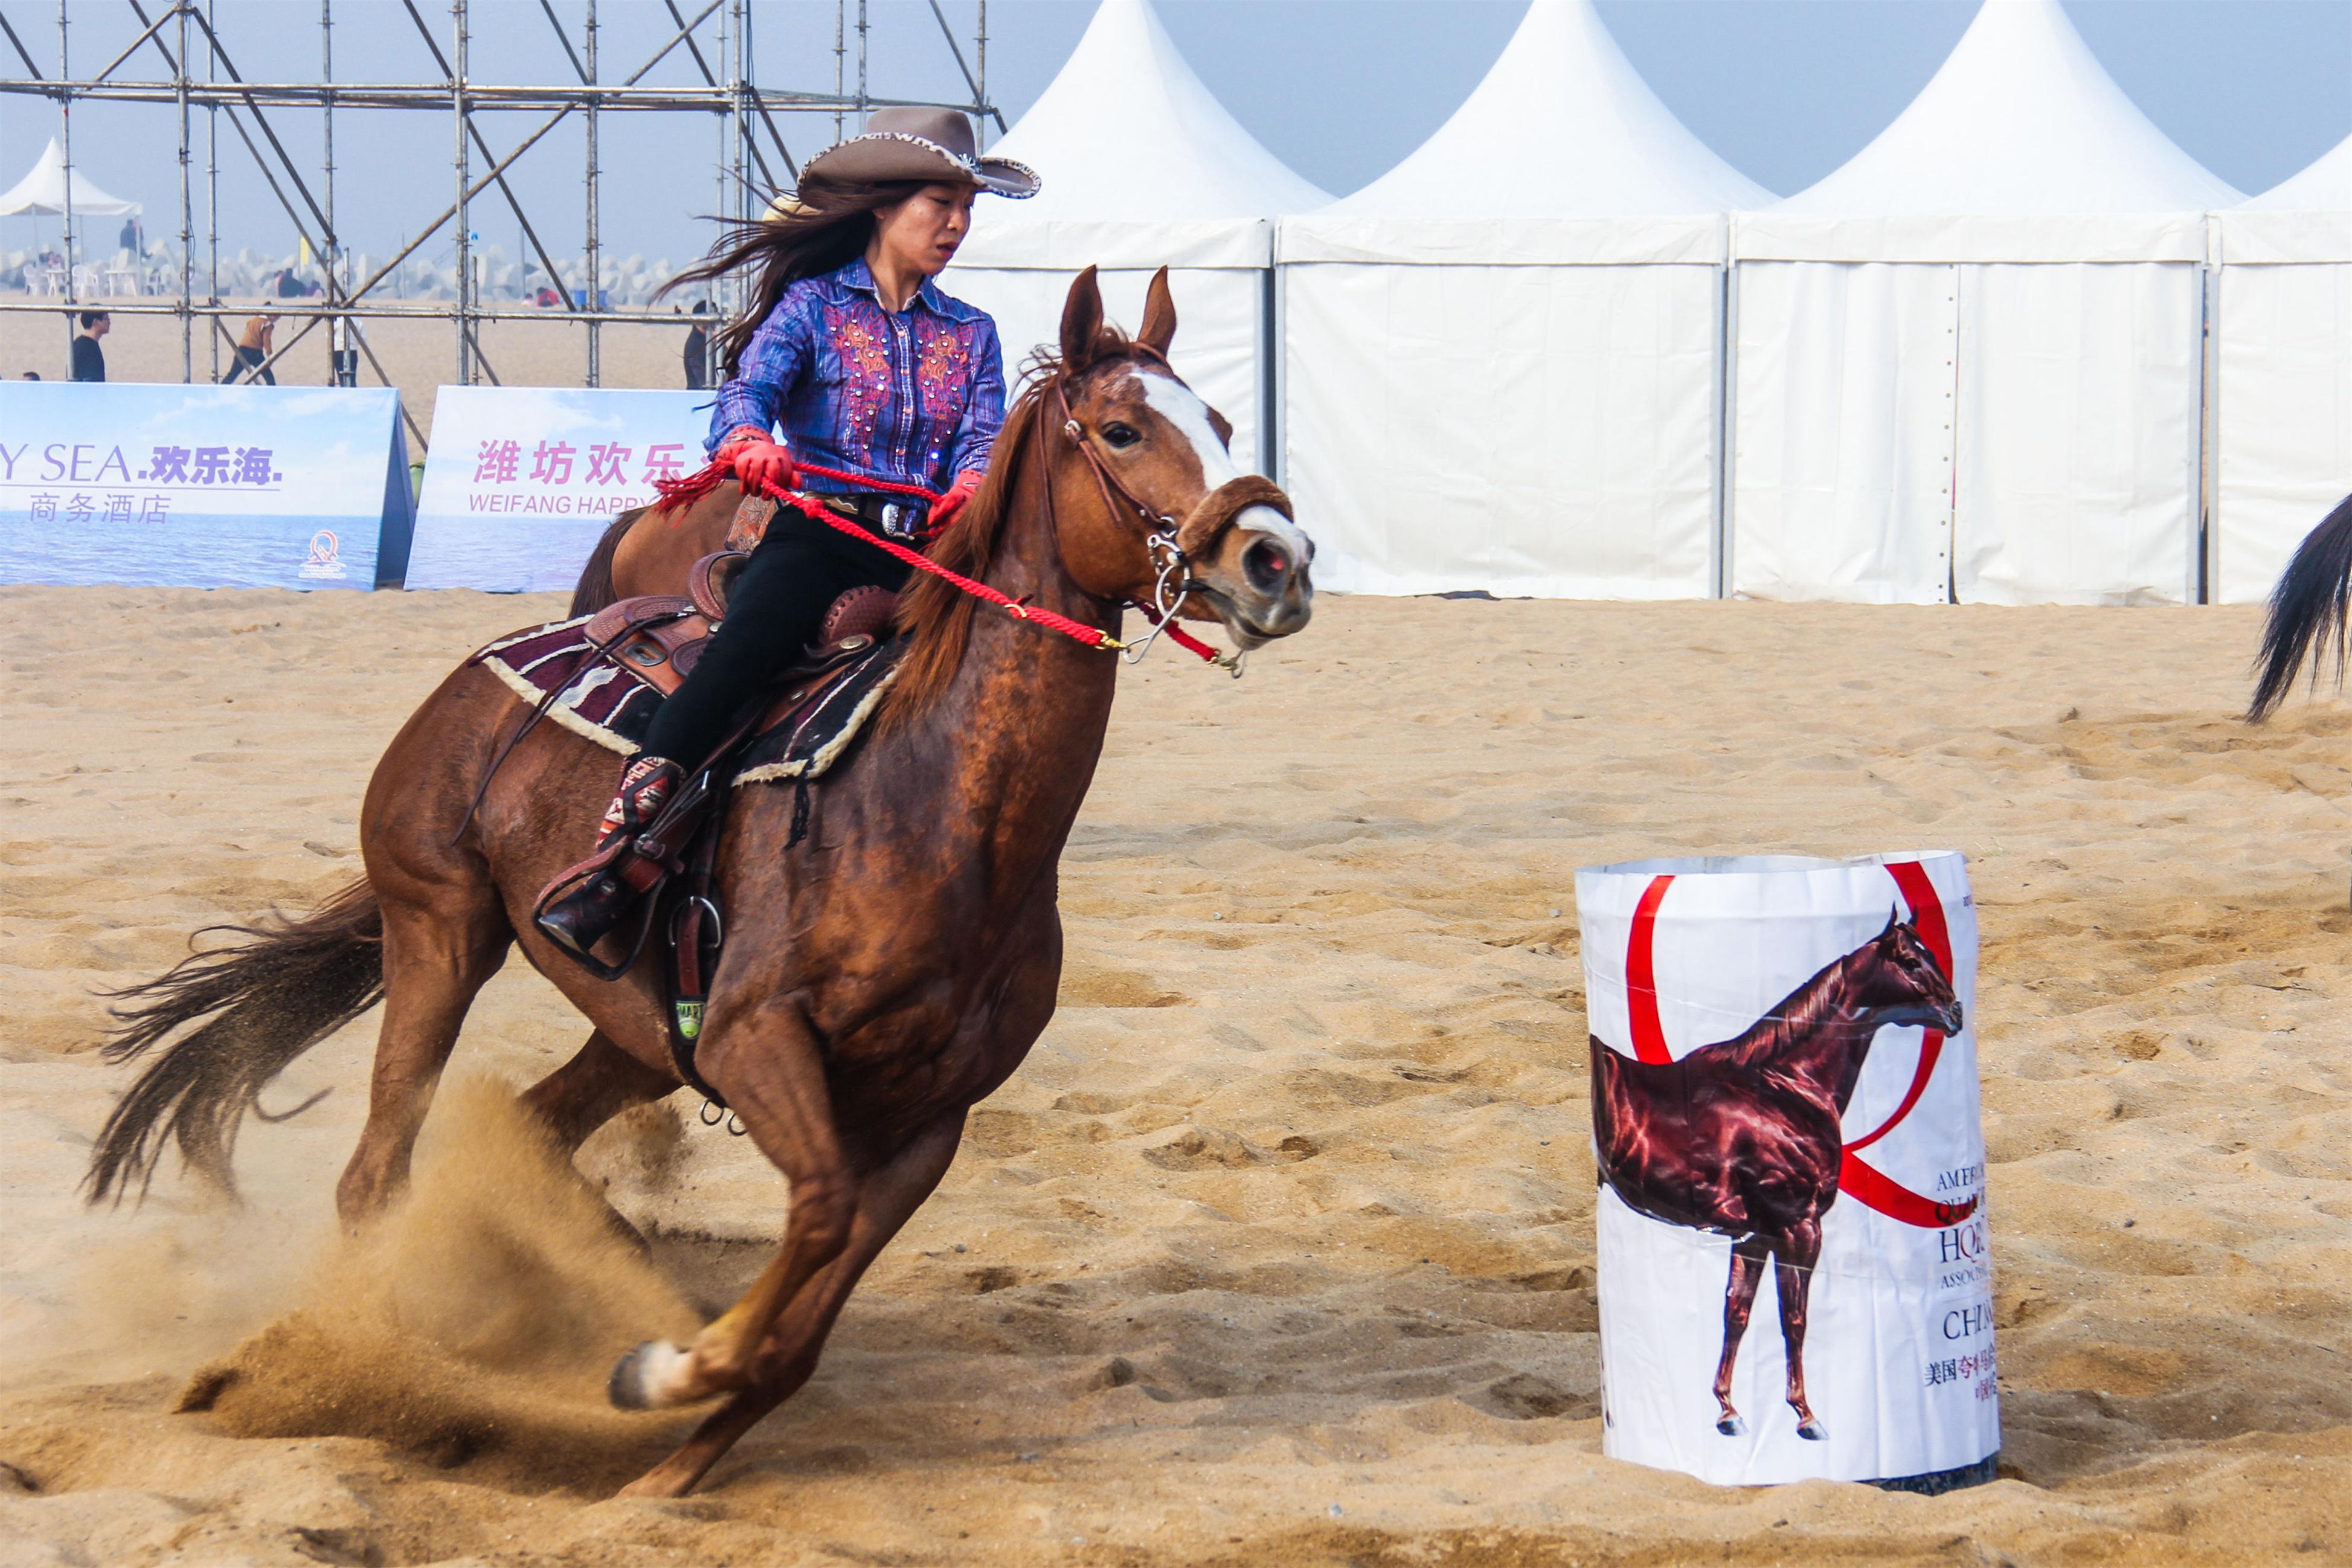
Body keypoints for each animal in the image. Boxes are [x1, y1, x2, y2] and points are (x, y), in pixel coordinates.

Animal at [87, 270, 1308, 1495]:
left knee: (530, 1132)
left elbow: (802, 1325)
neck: (938, 815)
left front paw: (669, 1451)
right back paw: (382, 1348)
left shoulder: (929, 1118)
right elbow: (813, 1217)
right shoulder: (751, 1040)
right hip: (439, 930)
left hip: (629, 1032)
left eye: (1223, 423)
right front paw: (669, 1373)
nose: (1276, 560)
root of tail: (491, 663)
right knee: (376, 1173)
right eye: (1122, 429)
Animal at [1590, 921, 1956, 1448]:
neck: (1780, 1090)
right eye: (1910, 961)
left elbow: (1737, 1313)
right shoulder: (1798, 1227)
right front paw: (1806, 1415)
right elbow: (1795, 1318)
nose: (1955, 1011)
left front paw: (1727, 1410)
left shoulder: (1755, 1234)